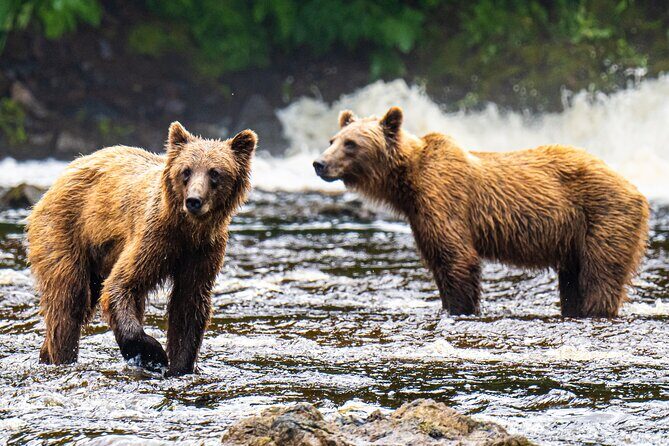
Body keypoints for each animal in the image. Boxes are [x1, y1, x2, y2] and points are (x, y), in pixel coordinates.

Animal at [27, 122, 256, 375]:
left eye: (214, 172)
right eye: (186, 171)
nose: (194, 201)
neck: (187, 229)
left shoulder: (203, 251)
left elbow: (188, 306)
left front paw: (180, 366)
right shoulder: (154, 238)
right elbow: (121, 285)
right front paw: (154, 354)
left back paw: (46, 355)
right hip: (66, 231)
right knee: (69, 301)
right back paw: (62, 357)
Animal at [313, 107, 649, 317]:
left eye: (351, 143)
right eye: (332, 139)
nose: (319, 163)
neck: (407, 184)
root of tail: (636, 189)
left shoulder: (444, 200)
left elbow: (456, 258)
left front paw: (461, 307)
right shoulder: (419, 215)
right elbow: (439, 260)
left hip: (604, 217)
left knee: (600, 276)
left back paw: (596, 308)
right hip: (574, 239)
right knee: (572, 282)